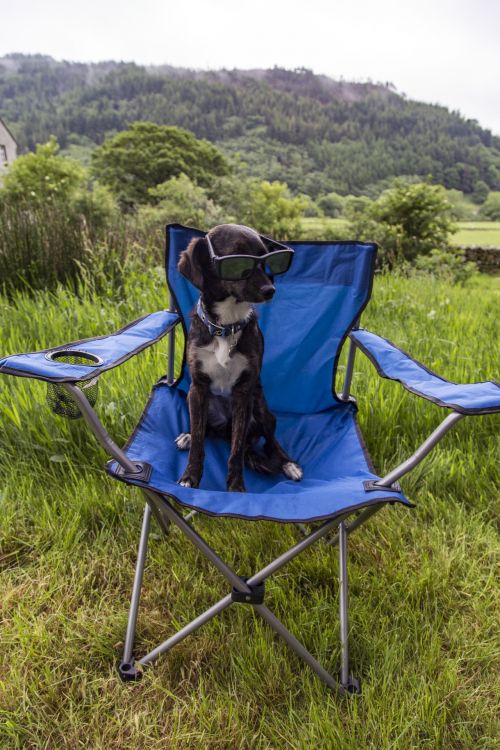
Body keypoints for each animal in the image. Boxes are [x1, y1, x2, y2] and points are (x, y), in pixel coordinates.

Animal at [174, 223, 302, 494]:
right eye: (237, 260)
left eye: (267, 260)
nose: (270, 290)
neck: (227, 325)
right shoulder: (198, 388)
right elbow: (199, 443)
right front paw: (190, 476)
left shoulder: (244, 392)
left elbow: (236, 449)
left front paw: (236, 488)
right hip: (197, 402)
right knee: (203, 430)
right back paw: (188, 435)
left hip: (261, 407)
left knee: (270, 441)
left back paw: (288, 464)